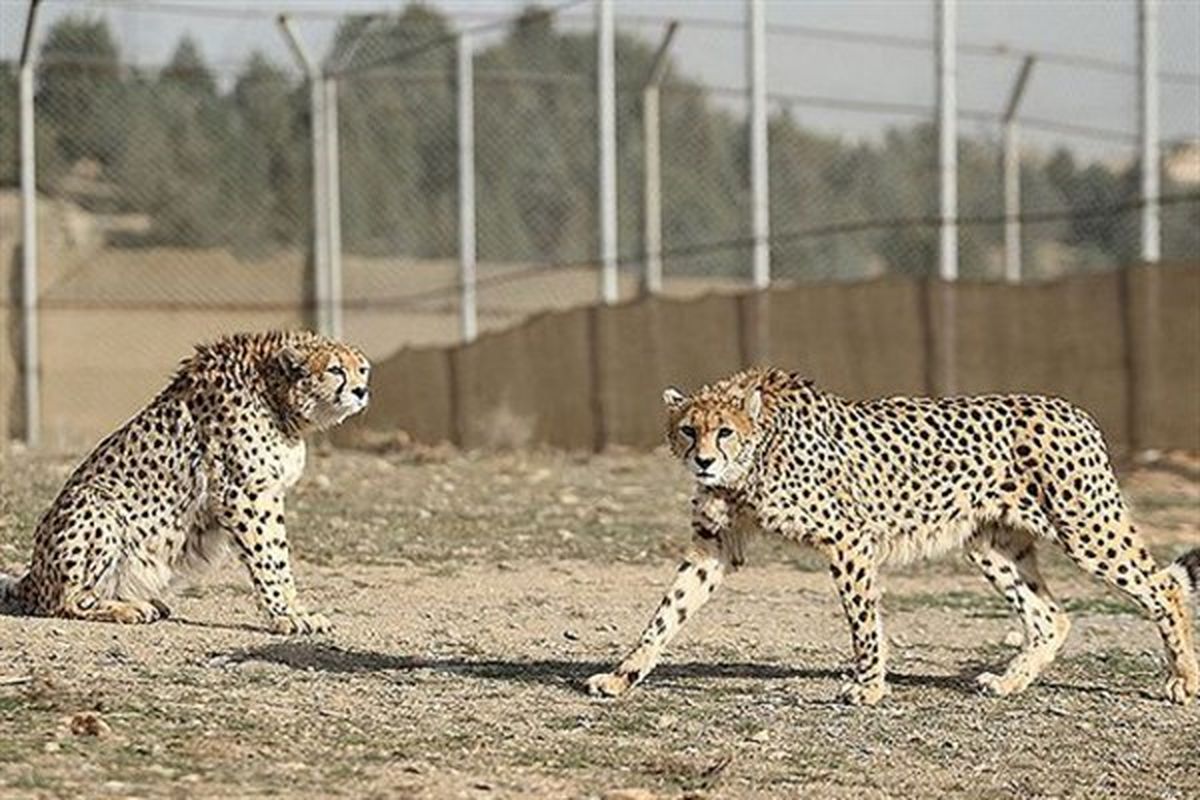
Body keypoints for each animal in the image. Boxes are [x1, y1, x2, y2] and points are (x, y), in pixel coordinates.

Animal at [0, 331, 369, 633]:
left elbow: (277, 553)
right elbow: (271, 556)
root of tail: (33, 577)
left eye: (362, 369)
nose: (362, 391)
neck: (273, 391)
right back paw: (128, 608)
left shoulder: (266, 492)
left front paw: (293, 610)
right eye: (336, 370)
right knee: (64, 602)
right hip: (95, 504)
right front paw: (288, 615)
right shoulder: (246, 494)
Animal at [588, 367, 1200, 705]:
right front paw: (622, 676)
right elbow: (667, 612)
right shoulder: (714, 545)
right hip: (991, 543)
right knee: (1051, 616)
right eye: (687, 430)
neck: (757, 455)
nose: (704, 461)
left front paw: (869, 686)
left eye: (724, 432)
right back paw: (1008, 683)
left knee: (1164, 587)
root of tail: (1072, 409)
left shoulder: (850, 539)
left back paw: (1182, 680)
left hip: (1085, 527)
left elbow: (863, 621)